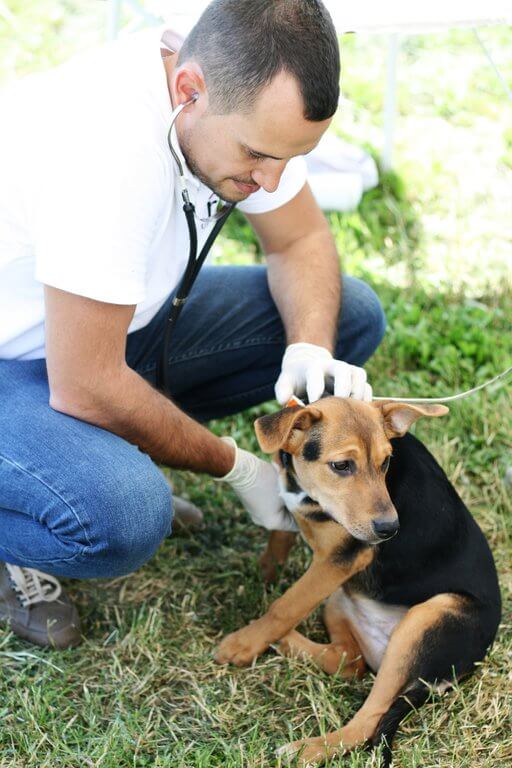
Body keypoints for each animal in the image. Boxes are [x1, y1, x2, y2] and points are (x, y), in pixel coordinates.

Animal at [215, 397, 501, 767]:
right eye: (341, 465)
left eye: (386, 462)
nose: (390, 529)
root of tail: (470, 663)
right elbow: (280, 534)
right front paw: (266, 572)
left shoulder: (341, 560)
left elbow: (286, 605)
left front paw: (242, 644)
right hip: (340, 599)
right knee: (349, 662)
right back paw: (286, 642)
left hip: (428, 620)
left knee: (368, 720)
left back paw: (305, 749)